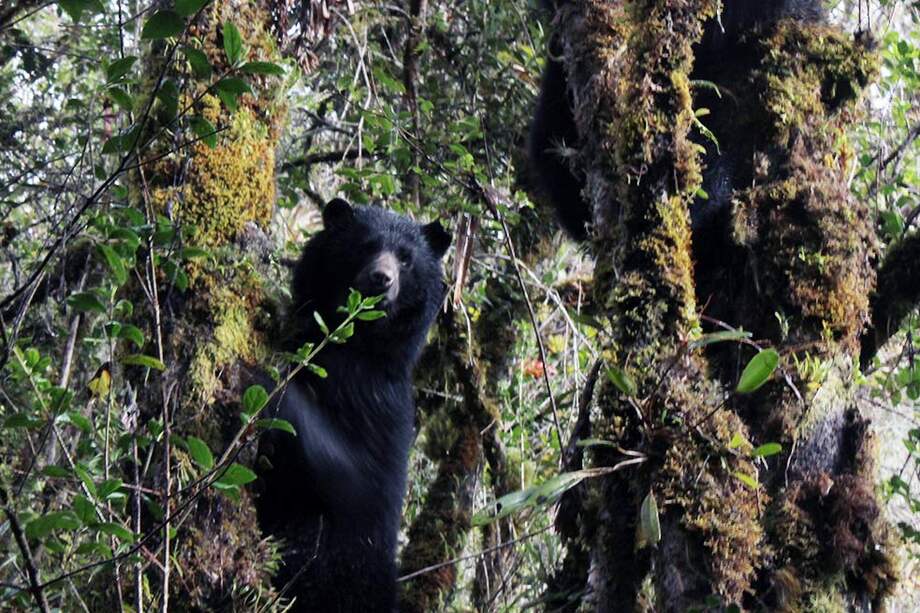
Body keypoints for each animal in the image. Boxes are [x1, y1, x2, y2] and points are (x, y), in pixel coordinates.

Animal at [255, 198, 451, 612]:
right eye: (366, 245)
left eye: (406, 259)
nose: (381, 279)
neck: (356, 340)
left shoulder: (372, 403)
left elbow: (346, 469)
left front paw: (261, 378)